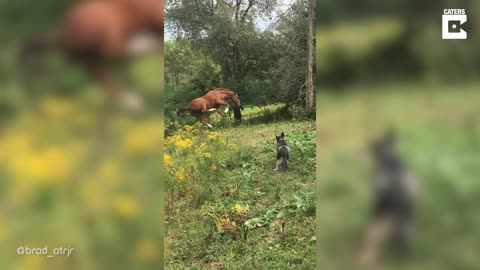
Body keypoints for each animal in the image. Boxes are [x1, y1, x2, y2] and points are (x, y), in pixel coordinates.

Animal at [18, 0, 164, 113]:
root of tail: (62, 33)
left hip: (87, 56)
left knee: (99, 70)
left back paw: (132, 102)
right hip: (105, 27)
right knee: (110, 53)